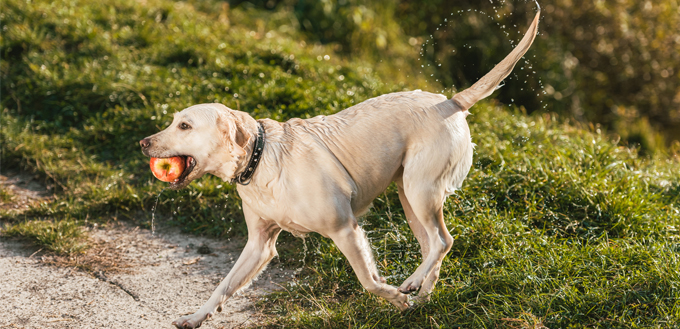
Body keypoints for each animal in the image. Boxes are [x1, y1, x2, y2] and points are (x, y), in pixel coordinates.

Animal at [141, 6, 540, 326]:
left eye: (184, 126)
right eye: (173, 120)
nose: (144, 143)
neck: (261, 159)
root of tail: (449, 101)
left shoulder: (345, 229)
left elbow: (369, 281)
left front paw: (395, 299)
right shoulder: (259, 245)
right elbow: (222, 286)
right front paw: (195, 317)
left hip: (421, 189)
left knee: (443, 240)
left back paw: (412, 284)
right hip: (410, 195)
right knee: (433, 245)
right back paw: (424, 293)